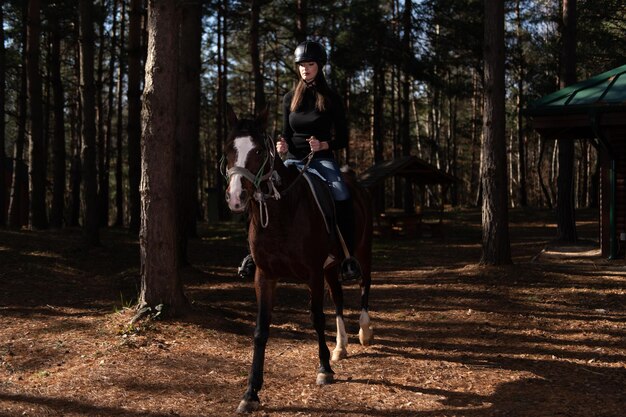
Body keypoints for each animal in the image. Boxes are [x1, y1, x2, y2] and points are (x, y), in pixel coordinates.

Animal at [223, 107, 370, 412]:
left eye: (258, 151)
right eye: (228, 149)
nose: (236, 197)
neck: (283, 212)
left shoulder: (313, 272)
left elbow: (316, 317)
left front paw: (324, 369)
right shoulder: (265, 275)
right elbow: (261, 330)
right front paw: (250, 392)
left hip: (362, 251)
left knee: (365, 285)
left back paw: (365, 331)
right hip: (331, 267)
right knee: (338, 299)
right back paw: (340, 347)